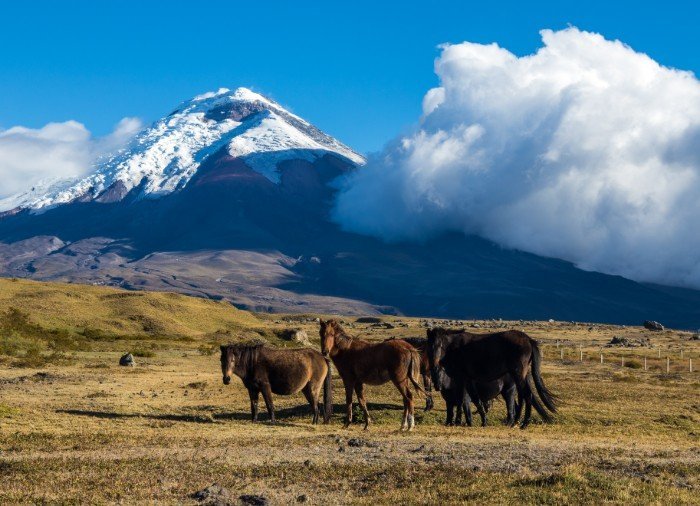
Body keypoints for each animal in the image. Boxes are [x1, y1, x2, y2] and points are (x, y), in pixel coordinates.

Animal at [426, 327, 557, 428]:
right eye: (429, 345)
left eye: (441, 345)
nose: (434, 364)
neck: (454, 349)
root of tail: (528, 339)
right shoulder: (466, 380)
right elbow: (472, 400)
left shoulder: (462, 378)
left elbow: (465, 400)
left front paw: (464, 422)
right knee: (522, 396)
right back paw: (516, 422)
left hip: (518, 375)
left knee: (526, 395)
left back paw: (523, 423)